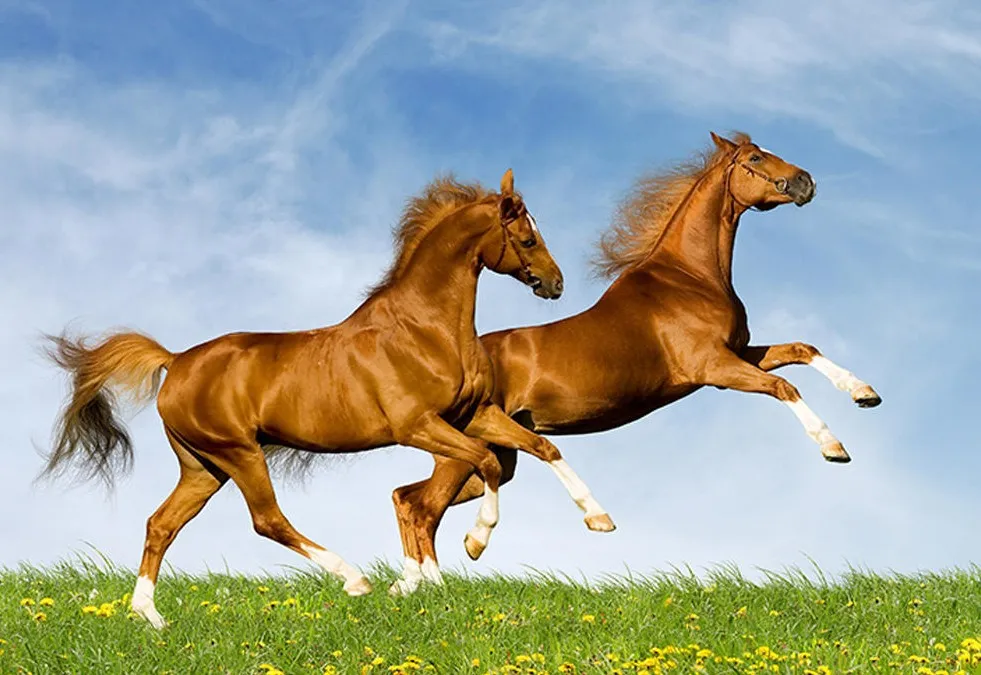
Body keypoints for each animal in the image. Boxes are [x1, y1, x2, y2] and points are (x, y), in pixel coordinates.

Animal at [41, 169, 615, 628]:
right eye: (526, 238)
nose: (556, 284)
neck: (425, 328)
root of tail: (176, 360)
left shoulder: (473, 414)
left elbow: (543, 448)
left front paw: (598, 519)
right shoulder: (418, 426)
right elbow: (484, 466)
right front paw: (471, 546)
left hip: (203, 466)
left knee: (161, 524)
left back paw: (149, 616)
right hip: (239, 453)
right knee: (267, 520)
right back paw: (354, 578)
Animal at [388, 133, 882, 580]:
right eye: (756, 158)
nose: (805, 181)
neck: (690, 278)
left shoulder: (740, 352)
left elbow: (802, 349)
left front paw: (864, 393)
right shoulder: (715, 367)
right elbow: (784, 385)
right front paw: (833, 447)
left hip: (493, 455)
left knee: (408, 498)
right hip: (466, 452)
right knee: (422, 508)